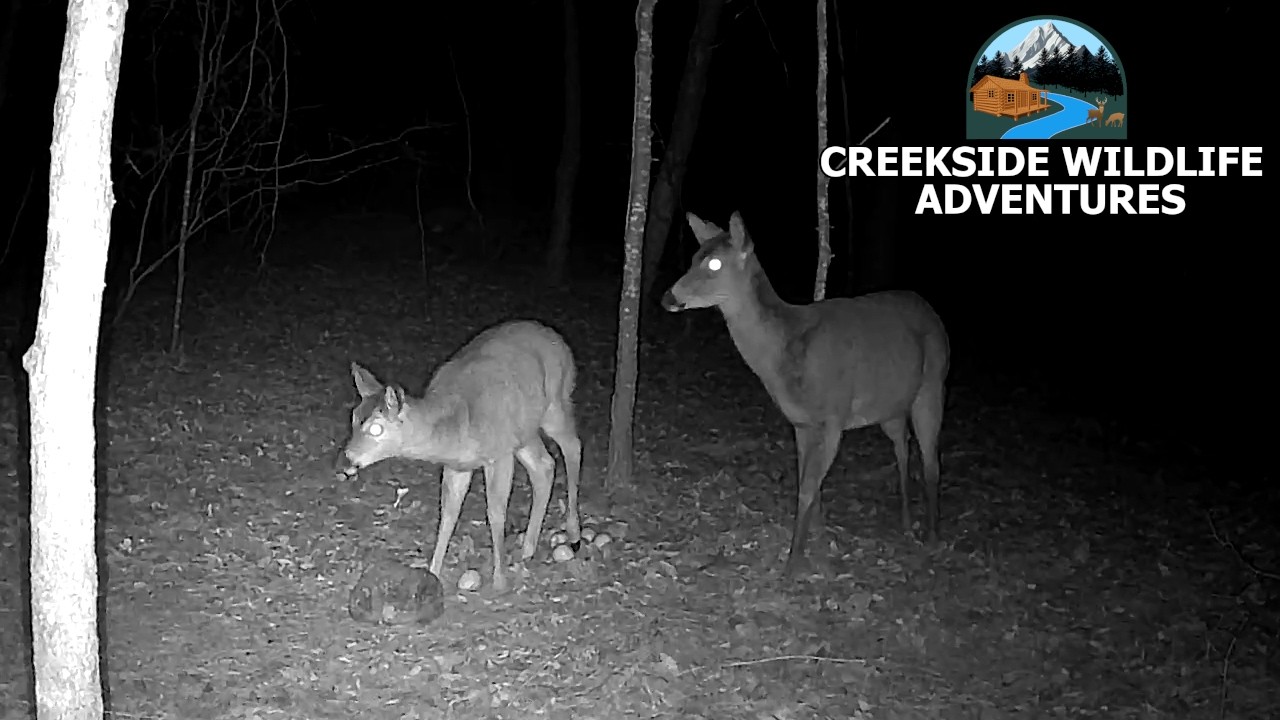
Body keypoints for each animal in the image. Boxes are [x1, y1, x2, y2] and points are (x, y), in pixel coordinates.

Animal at [661, 212, 950, 577]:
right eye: (694, 257)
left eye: (713, 263)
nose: (668, 298)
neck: (787, 357)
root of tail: (931, 309)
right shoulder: (800, 422)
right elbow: (805, 485)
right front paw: (817, 541)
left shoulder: (832, 416)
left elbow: (808, 487)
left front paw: (794, 562)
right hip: (891, 405)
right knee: (903, 448)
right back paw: (907, 525)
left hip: (932, 385)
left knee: (931, 460)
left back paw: (932, 535)